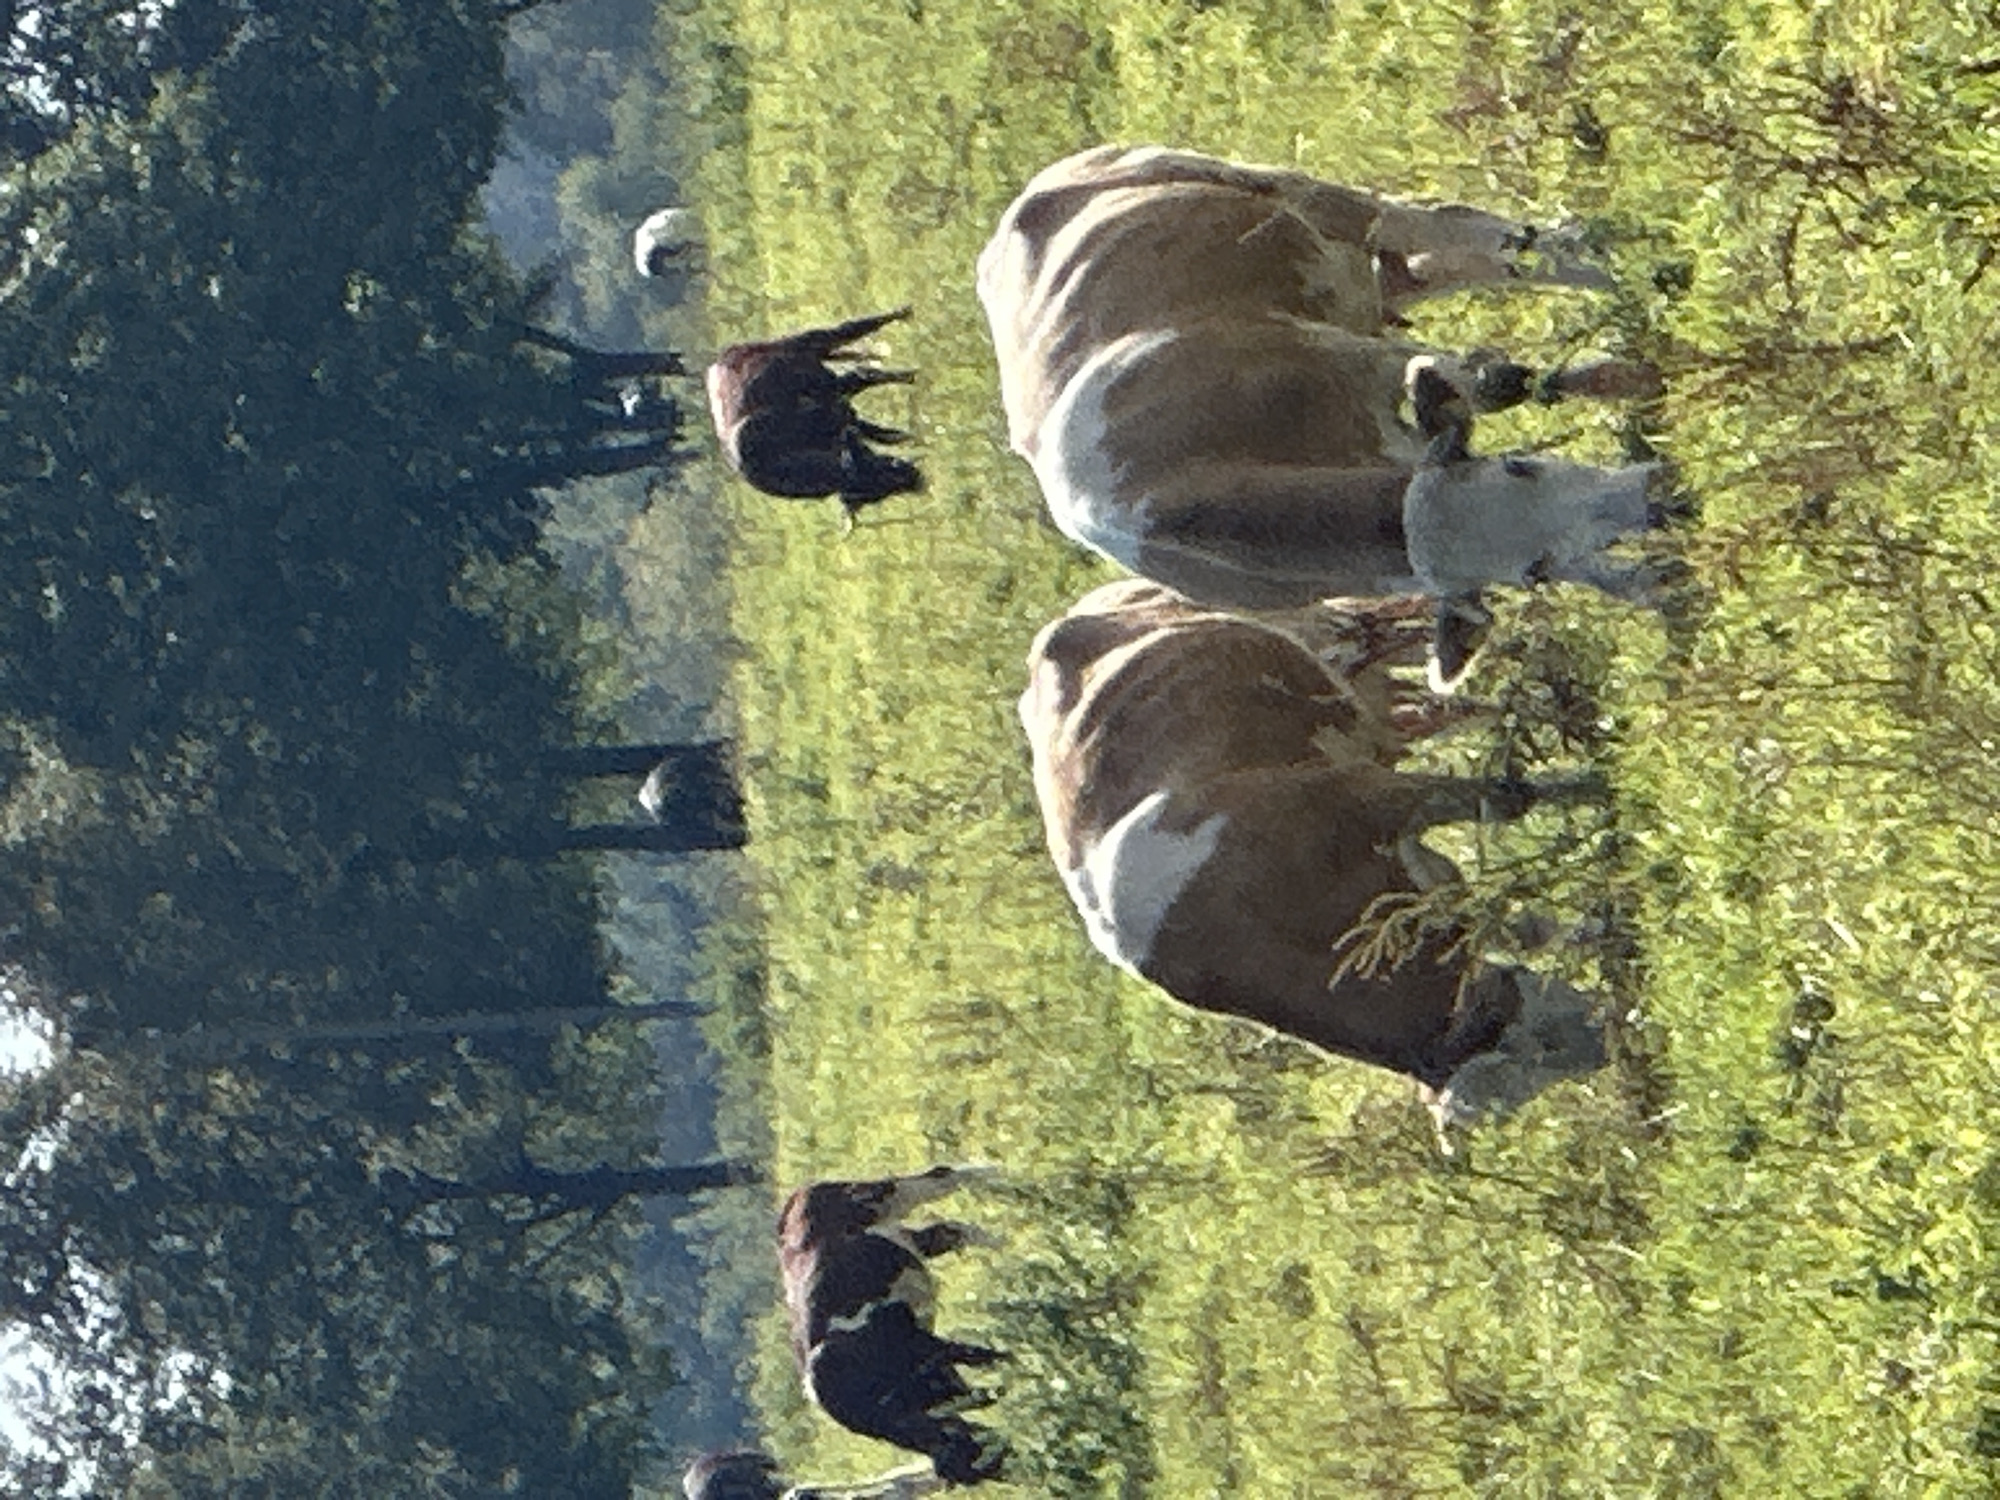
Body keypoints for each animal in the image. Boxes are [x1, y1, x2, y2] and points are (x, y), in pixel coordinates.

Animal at [707, 309, 925, 521]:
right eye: (881, 490)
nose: (916, 479)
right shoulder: (837, 411)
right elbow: (863, 423)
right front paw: (900, 435)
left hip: (811, 345)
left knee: (849, 335)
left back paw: (903, 315)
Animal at [779, 1167, 1006, 1485]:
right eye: (982, 1468)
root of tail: (796, 1199)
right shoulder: (938, 1373)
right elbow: (974, 1386)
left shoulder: (917, 1339)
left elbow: (976, 1354)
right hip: (902, 1238)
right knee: (950, 1230)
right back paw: (1007, 1238)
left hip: (874, 1197)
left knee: (940, 1177)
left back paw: (1003, 1178)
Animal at [976, 144, 1665, 635]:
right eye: (1532, 573)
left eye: (1523, 467)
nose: (1654, 505)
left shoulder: (1349, 354)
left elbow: (1493, 384)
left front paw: (1635, 378)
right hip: (1369, 285)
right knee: (1456, 262)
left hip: (1304, 197)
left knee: (1466, 235)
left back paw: (1618, 267)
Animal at [1019, 577, 1605, 1128]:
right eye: (1547, 1053)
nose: (1613, 1036)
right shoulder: (1410, 866)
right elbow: (1513, 924)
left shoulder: (1365, 793)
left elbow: (1503, 800)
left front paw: (1602, 791)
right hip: (1372, 704)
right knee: (1442, 704)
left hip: (1338, 632)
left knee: (1423, 626)